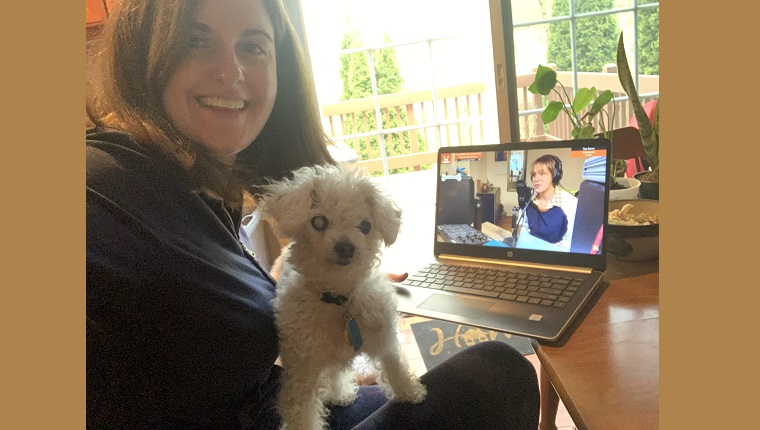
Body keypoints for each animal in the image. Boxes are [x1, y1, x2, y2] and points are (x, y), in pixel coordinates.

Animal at [260, 165, 428, 430]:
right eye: (318, 221)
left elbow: (394, 364)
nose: (347, 247)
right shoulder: (301, 370)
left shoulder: (384, 336)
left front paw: (409, 392)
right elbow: (301, 410)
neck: (339, 296)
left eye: (366, 225)